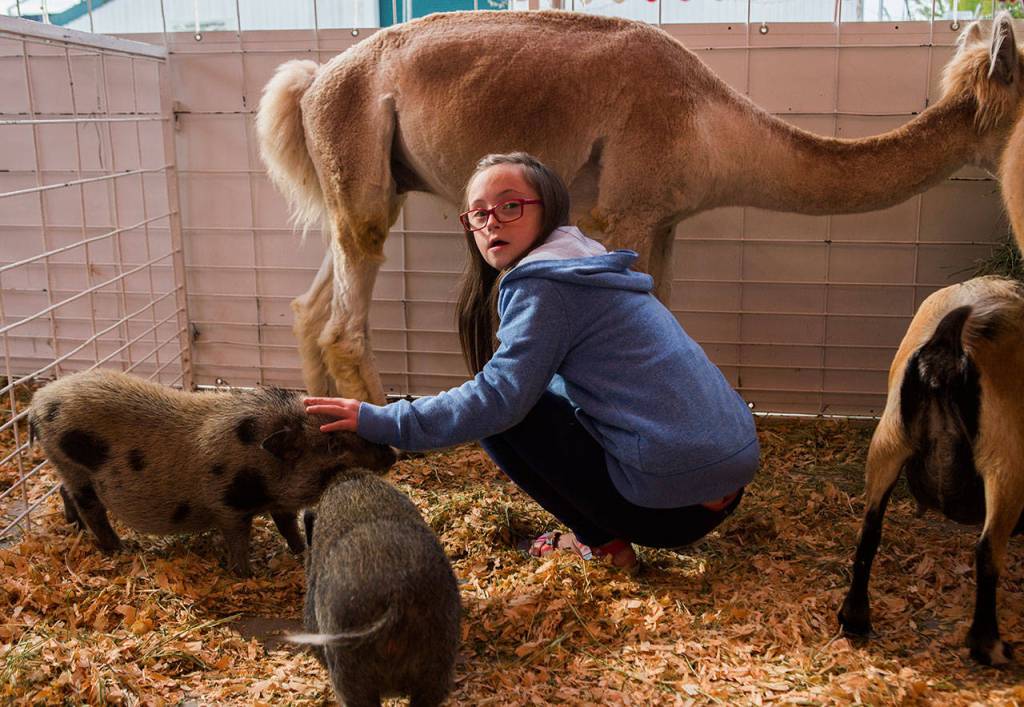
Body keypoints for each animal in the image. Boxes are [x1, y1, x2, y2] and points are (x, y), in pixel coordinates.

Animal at [28, 369, 395, 576]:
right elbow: (238, 539)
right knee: (91, 507)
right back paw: (119, 548)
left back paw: (75, 527)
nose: (391, 455)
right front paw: (249, 575)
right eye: (333, 445)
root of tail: (36, 403)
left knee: (64, 492)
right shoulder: (227, 503)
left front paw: (300, 551)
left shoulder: (279, 502)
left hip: (65, 467)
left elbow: (287, 525)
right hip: (71, 463)